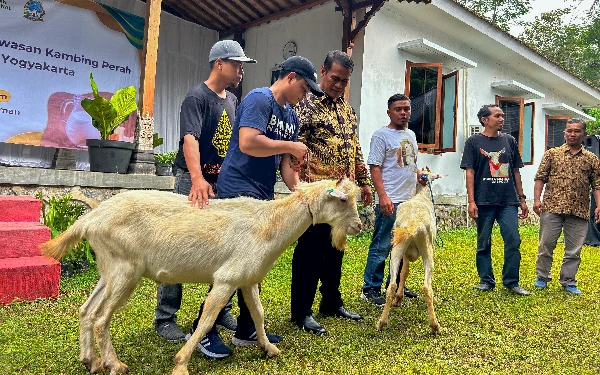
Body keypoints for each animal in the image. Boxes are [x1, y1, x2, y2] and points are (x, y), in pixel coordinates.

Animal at [42, 179, 364, 375]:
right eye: (342, 201)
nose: (359, 226)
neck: (269, 224)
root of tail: (89, 219)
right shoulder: (225, 280)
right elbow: (208, 319)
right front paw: (181, 363)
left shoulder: (246, 279)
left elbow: (258, 314)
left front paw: (269, 348)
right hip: (124, 270)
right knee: (101, 317)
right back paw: (115, 364)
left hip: (109, 269)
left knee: (86, 311)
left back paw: (90, 361)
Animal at [378, 169, 442, 336]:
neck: (421, 194)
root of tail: (413, 225)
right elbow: (406, 273)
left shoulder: (406, 254)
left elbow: (404, 273)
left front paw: (399, 299)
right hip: (427, 249)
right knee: (427, 287)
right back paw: (434, 325)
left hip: (397, 248)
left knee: (391, 285)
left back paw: (381, 322)